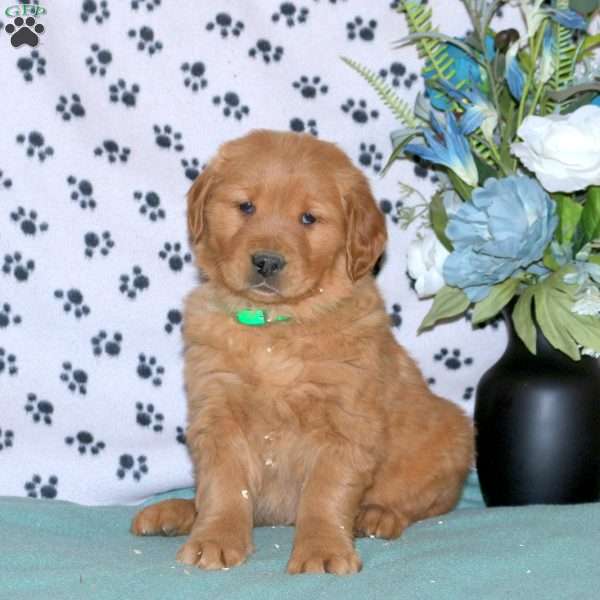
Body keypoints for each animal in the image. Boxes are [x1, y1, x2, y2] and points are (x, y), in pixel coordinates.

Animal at [131, 129, 474, 576]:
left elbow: (325, 494)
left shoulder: (344, 422)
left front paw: (322, 550)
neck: (275, 328)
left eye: (309, 219)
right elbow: (224, 489)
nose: (266, 261)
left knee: (422, 503)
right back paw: (175, 512)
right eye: (246, 206)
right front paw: (215, 539)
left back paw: (377, 515)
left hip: (451, 438)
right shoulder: (218, 412)